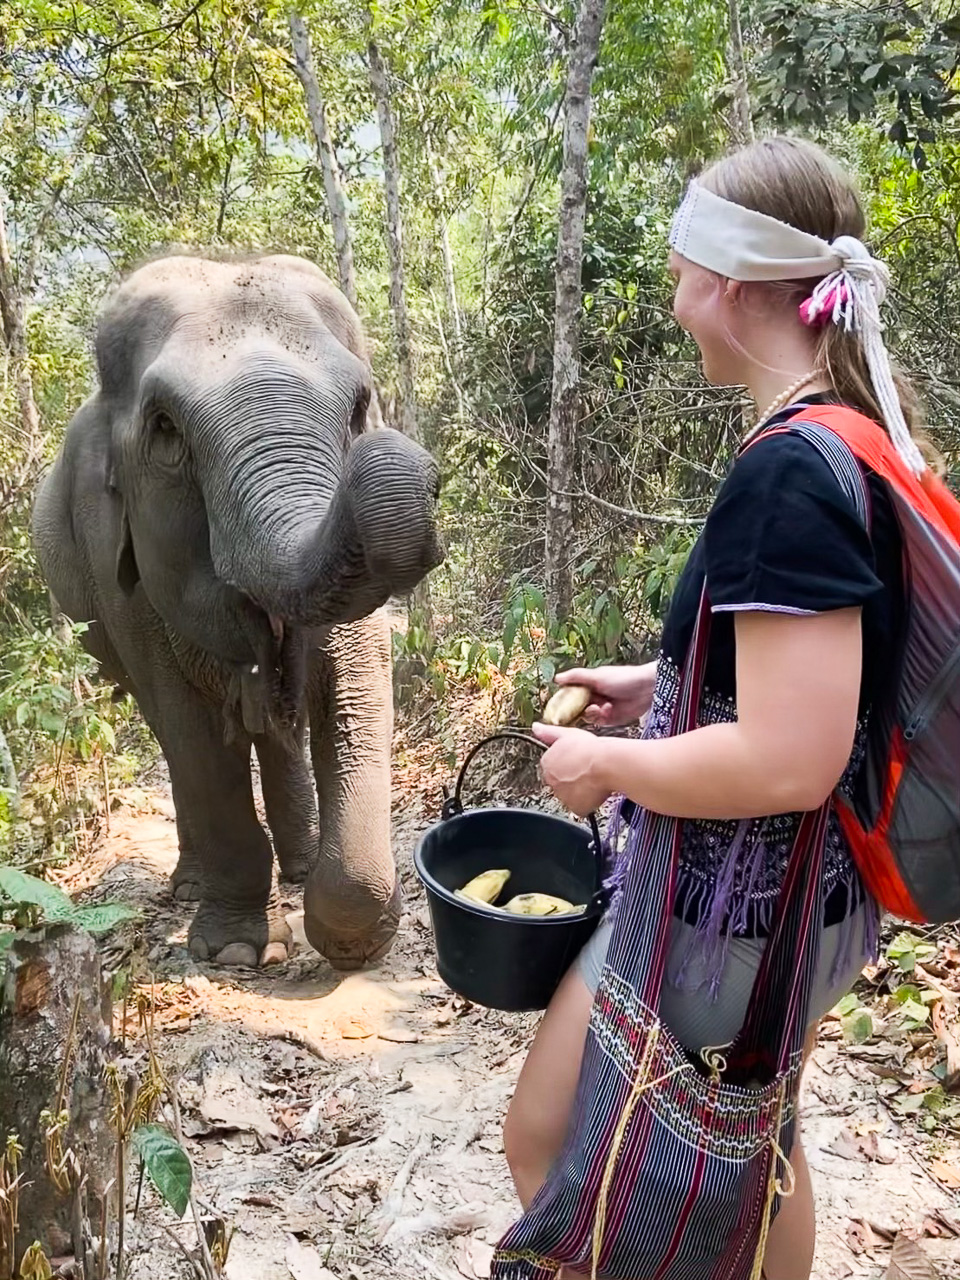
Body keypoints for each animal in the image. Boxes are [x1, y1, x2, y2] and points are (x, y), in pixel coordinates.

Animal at [32, 254, 442, 969]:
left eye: (359, 405)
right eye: (165, 429)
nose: (421, 466)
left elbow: (358, 693)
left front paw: (356, 943)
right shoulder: (119, 570)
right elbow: (191, 732)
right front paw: (232, 953)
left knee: (272, 731)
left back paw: (298, 866)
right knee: (171, 734)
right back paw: (194, 883)